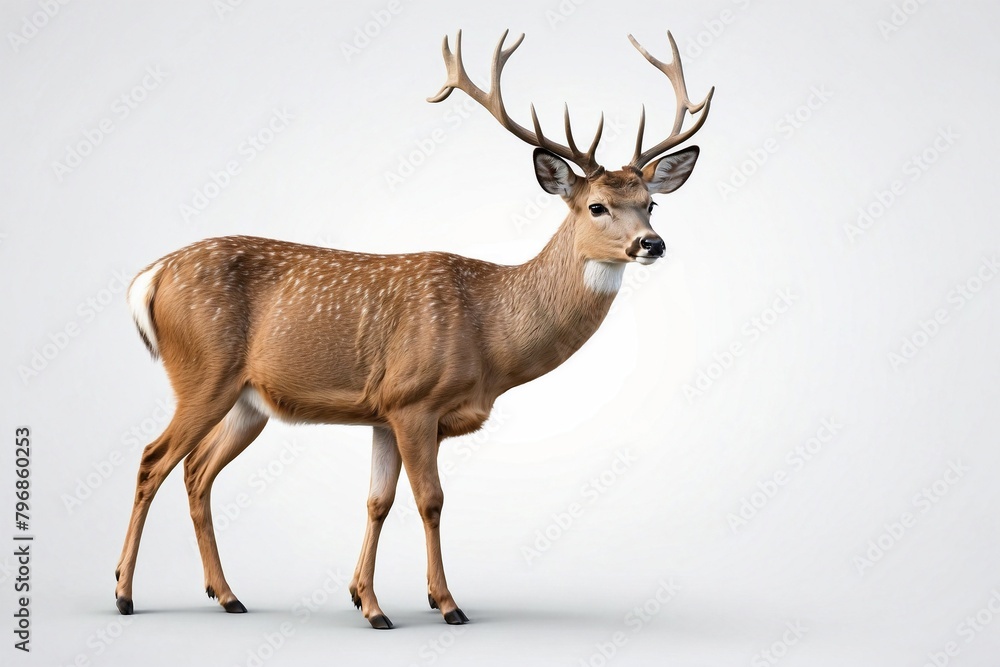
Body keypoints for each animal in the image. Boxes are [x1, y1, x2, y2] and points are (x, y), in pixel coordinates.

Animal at [114, 29, 712, 629]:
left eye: (651, 203)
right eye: (596, 206)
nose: (651, 243)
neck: (490, 338)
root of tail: (151, 275)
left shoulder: (383, 411)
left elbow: (377, 501)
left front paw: (367, 602)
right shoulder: (413, 401)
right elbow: (431, 501)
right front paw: (446, 603)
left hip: (248, 400)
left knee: (196, 472)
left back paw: (227, 595)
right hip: (203, 372)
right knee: (152, 459)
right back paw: (124, 593)